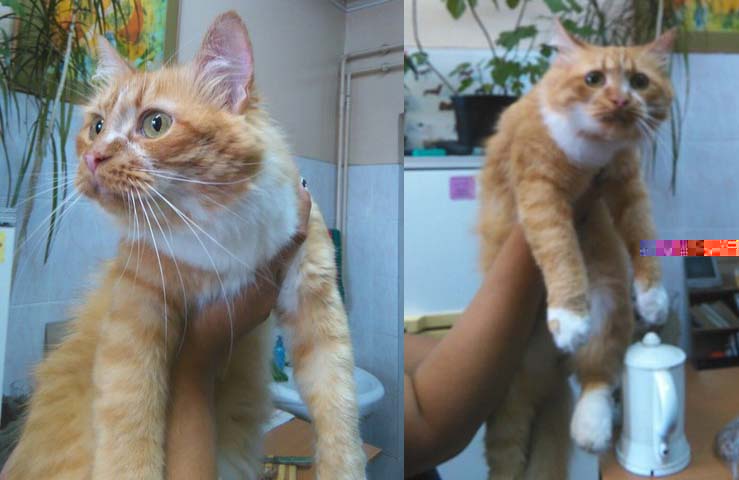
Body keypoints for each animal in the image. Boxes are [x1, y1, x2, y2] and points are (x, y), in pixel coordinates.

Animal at [4, 12, 366, 480]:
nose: (93, 158)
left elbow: (339, 408)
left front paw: (344, 468)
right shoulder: (136, 310)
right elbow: (129, 427)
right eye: (97, 127)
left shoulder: (316, 299)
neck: (218, 226)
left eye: (155, 124)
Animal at [478, 20, 675, 479]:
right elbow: (561, 252)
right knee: (507, 456)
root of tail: (549, 372)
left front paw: (653, 298)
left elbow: (644, 237)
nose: (620, 100)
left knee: (598, 378)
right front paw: (568, 315)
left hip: (610, 303)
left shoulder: (628, 187)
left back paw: (591, 428)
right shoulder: (542, 196)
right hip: (507, 392)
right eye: (594, 79)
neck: (594, 150)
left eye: (640, 82)